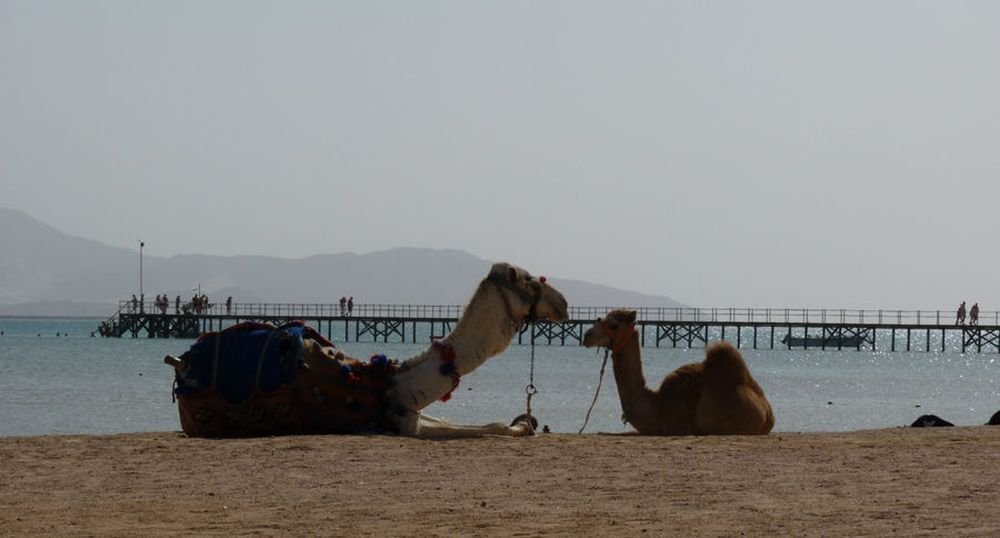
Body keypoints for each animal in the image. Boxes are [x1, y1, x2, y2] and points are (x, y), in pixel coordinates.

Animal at [167, 262, 568, 436]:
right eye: (532, 283)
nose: (564, 304)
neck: (390, 381)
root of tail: (180, 361)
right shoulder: (404, 423)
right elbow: (491, 427)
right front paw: (523, 425)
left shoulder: (413, 412)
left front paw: (526, 421)